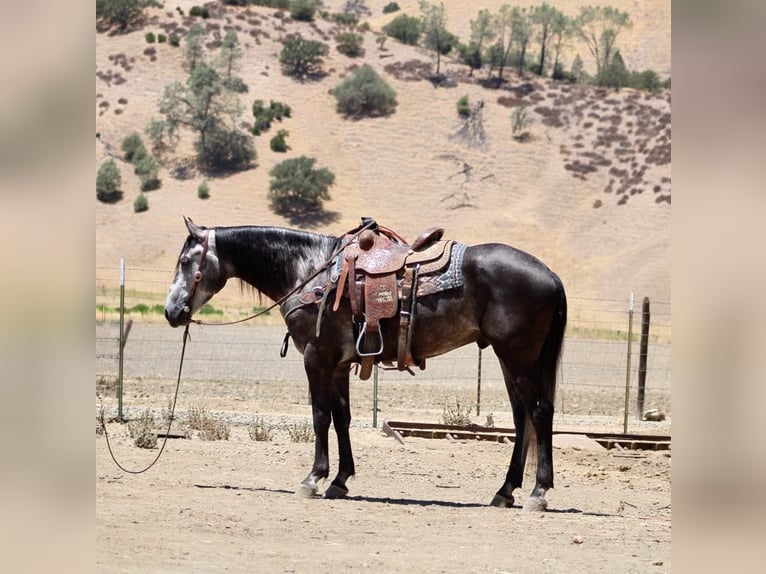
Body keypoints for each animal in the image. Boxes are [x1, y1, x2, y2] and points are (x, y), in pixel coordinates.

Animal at [165, 216, 567, 510]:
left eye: (185, 262)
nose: (171, 312)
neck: (311, 272)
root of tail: (550, 275)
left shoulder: (317, 358)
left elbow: (320, 417)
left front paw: (313, 479)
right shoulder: (340, 364)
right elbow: (342, 418)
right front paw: (340, 481)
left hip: (518, 356)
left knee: (539, 412)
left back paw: (538, 493)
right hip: (509, 359)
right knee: (522, 418)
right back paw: (505, 491)